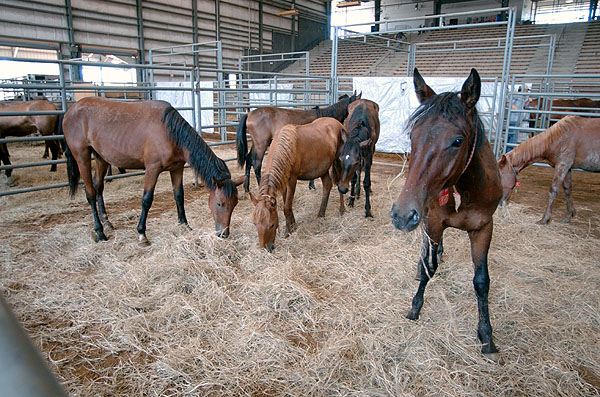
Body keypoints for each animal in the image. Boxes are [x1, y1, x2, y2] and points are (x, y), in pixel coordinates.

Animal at [64, 96, 243, 244]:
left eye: (235, 204)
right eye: (219, 203)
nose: (224, 234)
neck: (170, 132)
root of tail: (70, 111)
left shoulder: (177, 168)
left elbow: (179, 196)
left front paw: (184, 225)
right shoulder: (152, 168)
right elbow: (147, 199)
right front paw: (142, 234)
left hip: (101, 157)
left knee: (98, 187)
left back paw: (107, 222)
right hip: (82, 157)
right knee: (90, 193)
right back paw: (100, 232)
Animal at [248, 117, 344, 251]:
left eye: (272, 225)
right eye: (255, 224)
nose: (266, 248)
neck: (287, 147)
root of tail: (338, 123)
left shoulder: (292, 180)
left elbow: (287, 207)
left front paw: (288, 232)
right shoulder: (283, 181)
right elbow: (286, 205)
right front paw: (293, 225)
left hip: (338, 162)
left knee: (341, 184)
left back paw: (342, 210)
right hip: (323, 169)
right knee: (327, 185)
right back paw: (321, 214)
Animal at [392, 69, 504, 362]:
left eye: (457, 141)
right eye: (413, 136)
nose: (401, 215)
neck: (466, 189)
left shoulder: (484, 227)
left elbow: (481, 281)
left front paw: (487, 337)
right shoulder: (432, 220)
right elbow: (429, 266)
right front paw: (415, 308)